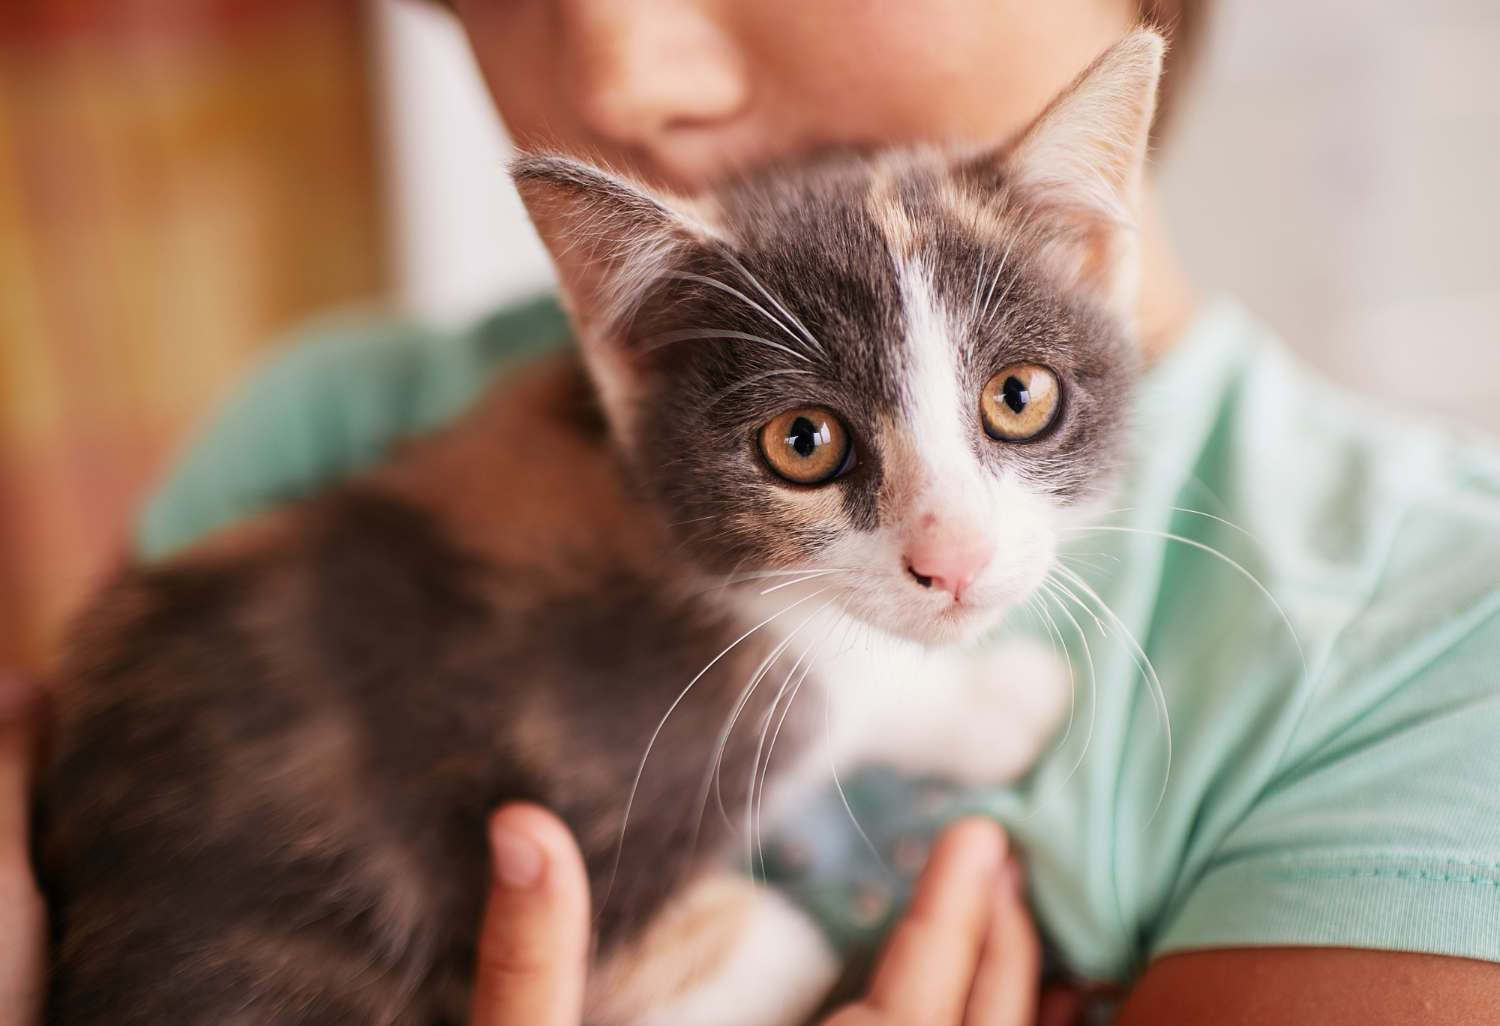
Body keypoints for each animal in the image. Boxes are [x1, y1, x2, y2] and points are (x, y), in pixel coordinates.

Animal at [32, 32, 1158, 1026]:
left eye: (1019, 397)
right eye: (803, 442)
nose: (954, 558)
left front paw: (980, 696)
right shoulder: (552, 842)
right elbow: (765, 950)